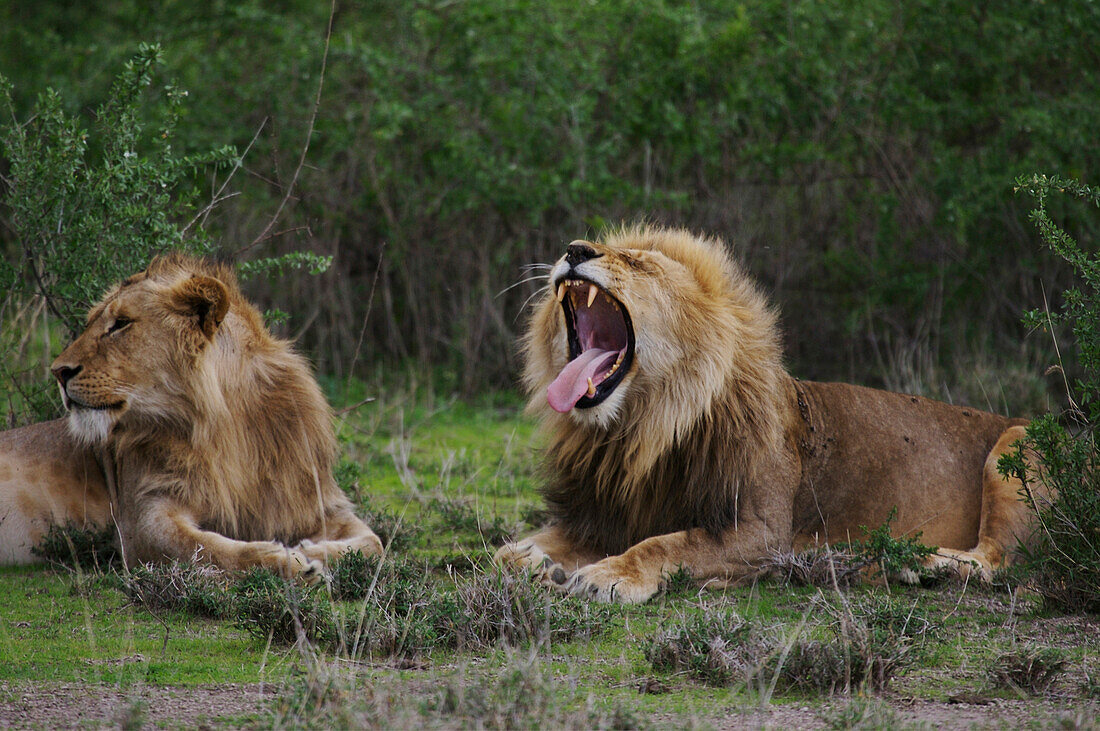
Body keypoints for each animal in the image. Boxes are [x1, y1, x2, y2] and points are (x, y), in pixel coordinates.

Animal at [0, 253, 382, 571]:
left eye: (121, 323)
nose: (58, 372)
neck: (225, 427)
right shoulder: (140, 521)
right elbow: (204, 548)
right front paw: (287, 561)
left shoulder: (315, 503)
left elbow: (374, 544)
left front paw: (309, 550)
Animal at [495, 225, 1042, 602]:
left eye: (636, 262)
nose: (574, 250)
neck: (640, 430)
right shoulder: (604, 513)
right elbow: (511, 549)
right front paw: (533, 558)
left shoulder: (763, 533)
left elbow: (670, 545)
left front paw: (610, 574)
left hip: (1017, 441)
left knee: (997, 561)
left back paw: (912, 563)